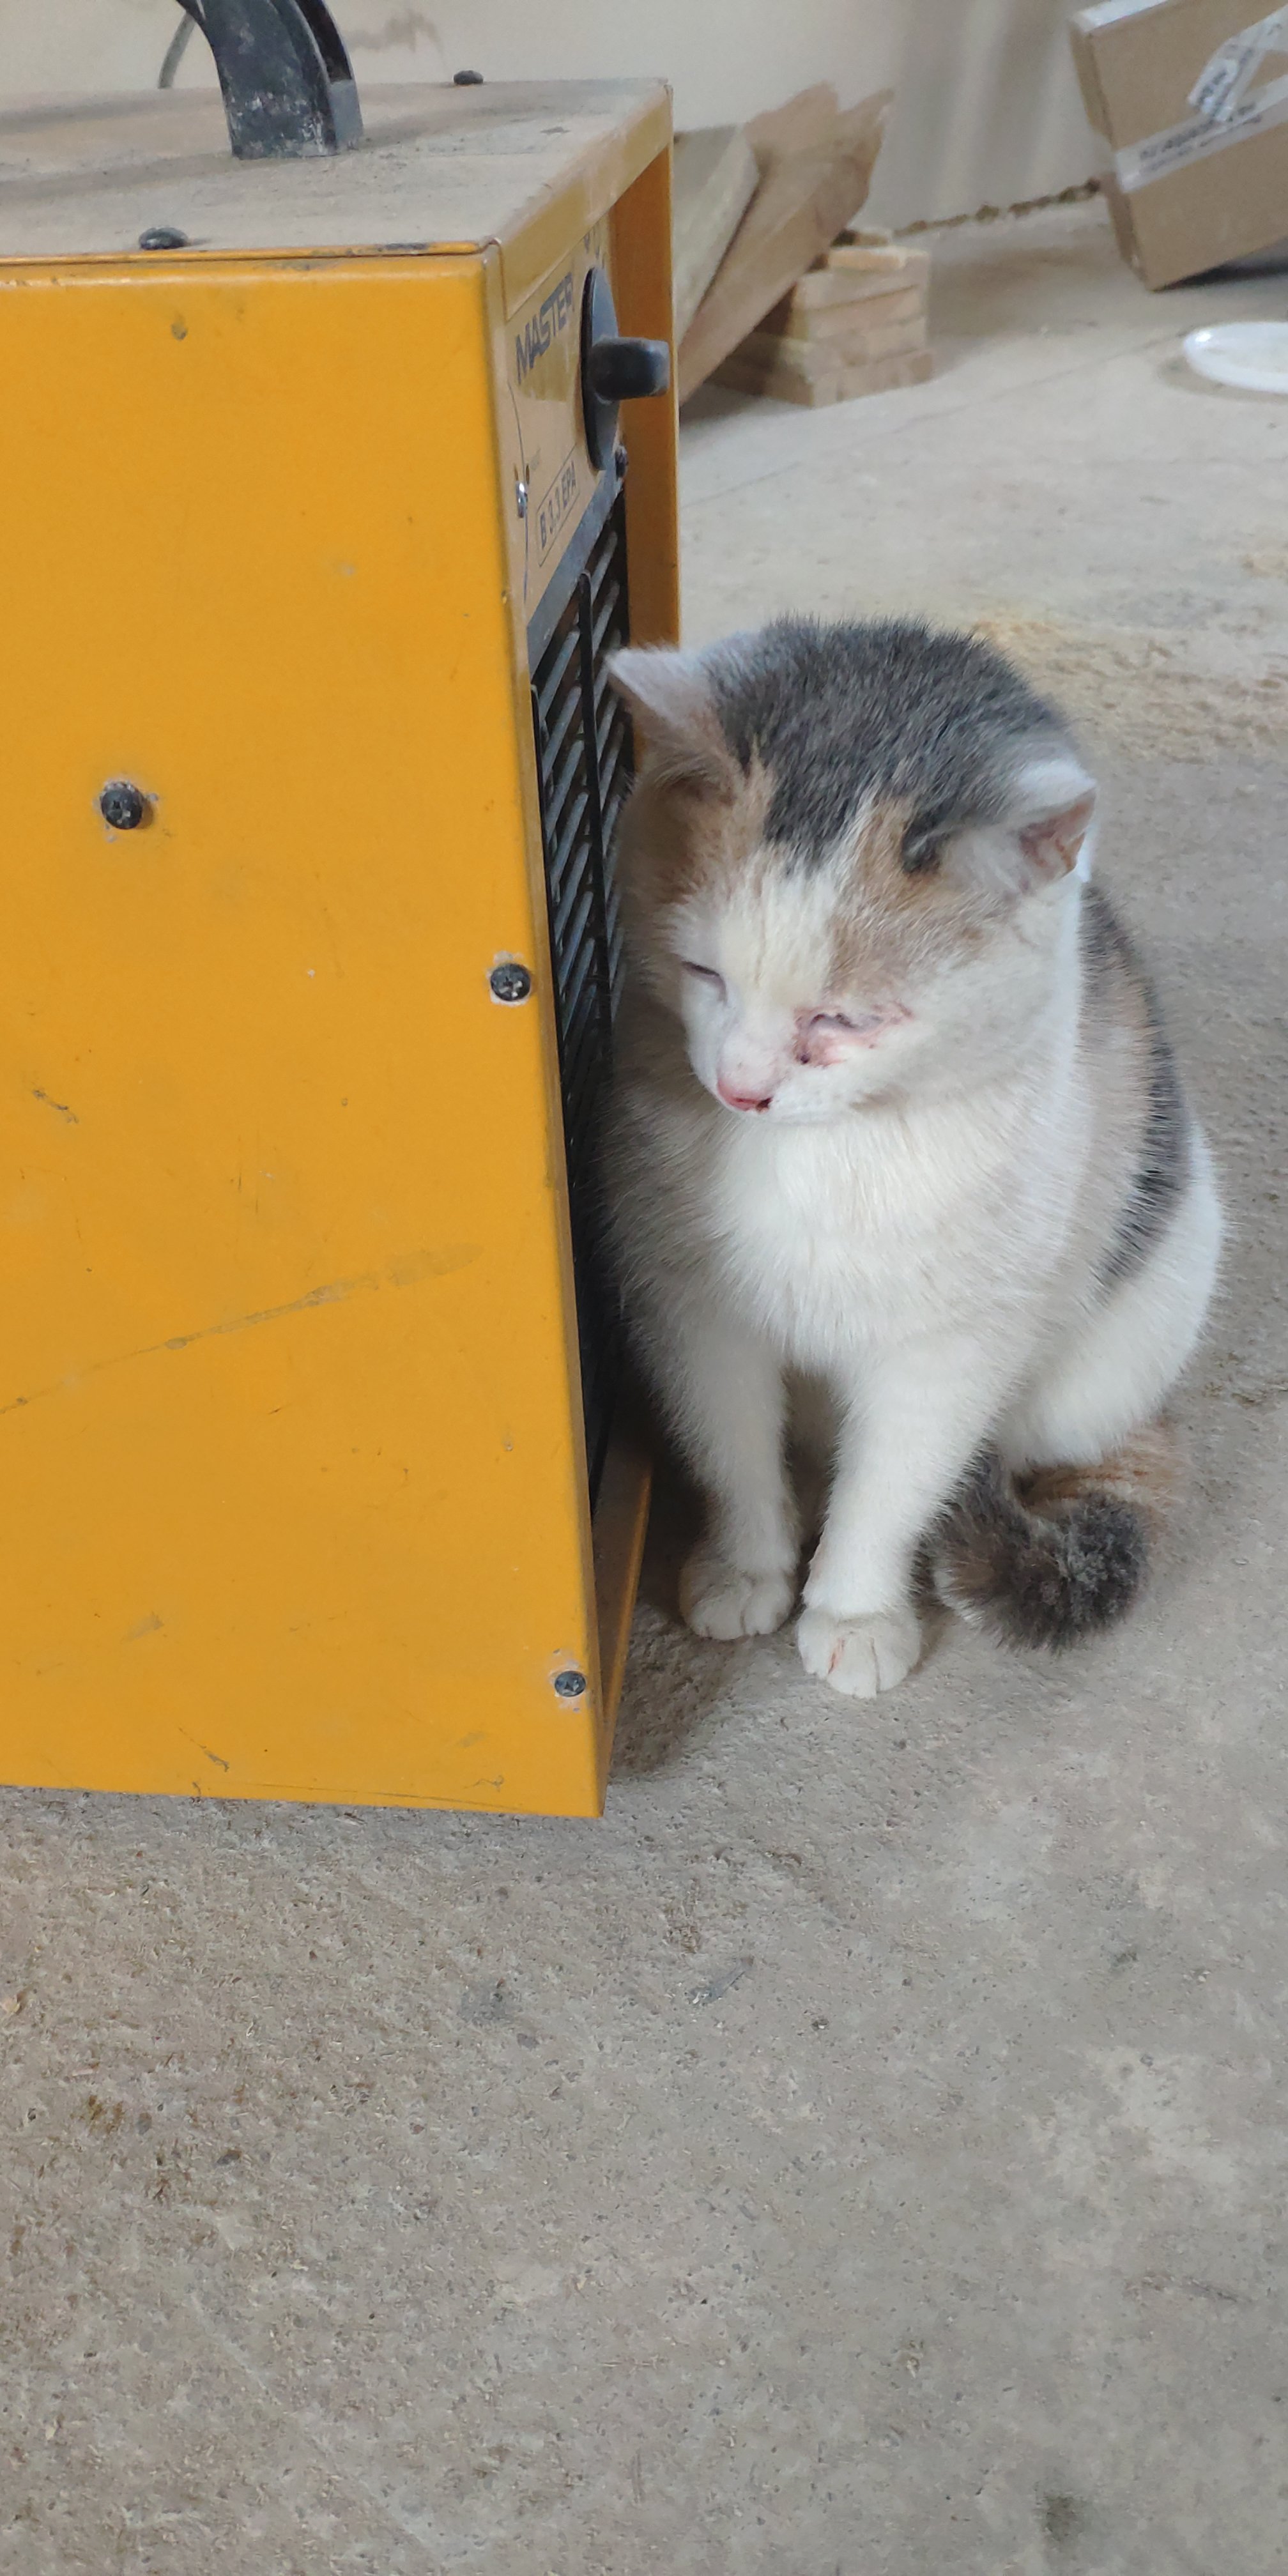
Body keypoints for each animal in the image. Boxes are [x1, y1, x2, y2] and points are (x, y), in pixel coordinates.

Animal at [602, 617, 1221, 1699]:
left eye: (846, 1021)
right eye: (702, 971)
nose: (741, 1089)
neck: (822, 1157)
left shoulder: (946, 1353)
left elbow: (889, 1490)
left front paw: (853, 1613)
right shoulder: (693, 1309)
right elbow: (731, 1451)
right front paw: (746, 1568)